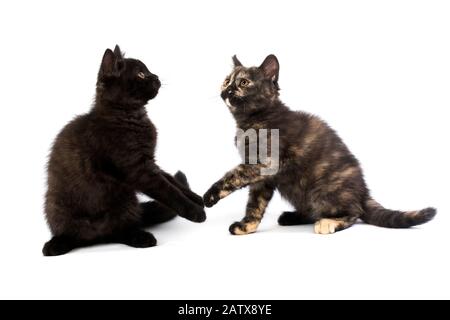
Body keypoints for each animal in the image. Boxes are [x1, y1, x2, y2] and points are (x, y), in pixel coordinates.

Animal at [43, 45, 205, 255]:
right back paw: (55, 245)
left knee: (122, 230)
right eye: (141, 74)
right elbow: (168, 190)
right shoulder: (136, 168)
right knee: (70, 233)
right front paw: (195, 211)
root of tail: (96, 238)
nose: (156, 76)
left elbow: (173, 181)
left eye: (148, 71)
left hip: (126, 203)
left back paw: (140, 237)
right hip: (55, 206)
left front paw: (197, 198)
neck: (131, 116)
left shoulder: (149, 162)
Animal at [204, 54, 436, 235]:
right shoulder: (263, 178)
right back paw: (291, 217)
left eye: (243, 83)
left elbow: (233, 176)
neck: (252, 121)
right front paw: (247, 226)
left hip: (321, 191)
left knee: (353, 213)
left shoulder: (265, 164)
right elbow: (255, 204)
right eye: (226, 80)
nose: (227, 91)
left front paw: (209, 196)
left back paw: (327, 223)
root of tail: (363, 192)